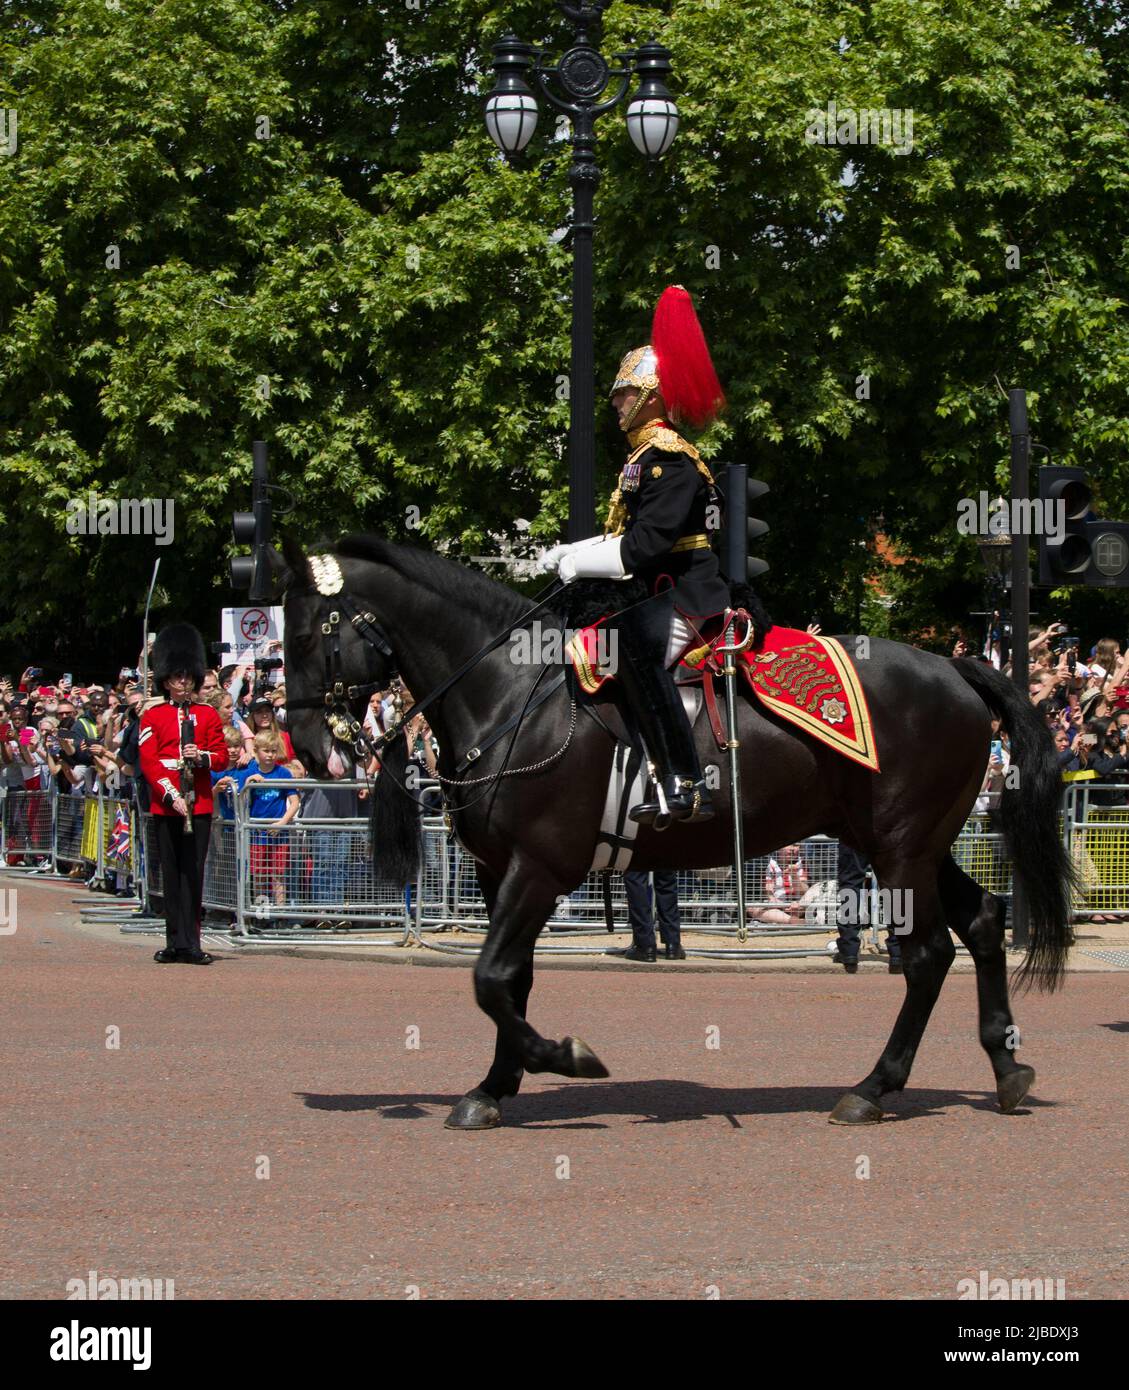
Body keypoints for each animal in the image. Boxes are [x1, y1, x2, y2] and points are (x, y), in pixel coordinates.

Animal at [278, 530, 1073, 1128]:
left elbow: (492, 978)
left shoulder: (538, 867)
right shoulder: (499, 871)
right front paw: (494, 1087)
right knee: (983, 921)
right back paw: (1005, 1066)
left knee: (927, 956)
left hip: (902, 847)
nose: (311, 749)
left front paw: (563, 1057)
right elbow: (511, 981)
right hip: (912, 843)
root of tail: (956, 667)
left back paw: (874, 1087)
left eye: (308, 633)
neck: (510, 694)